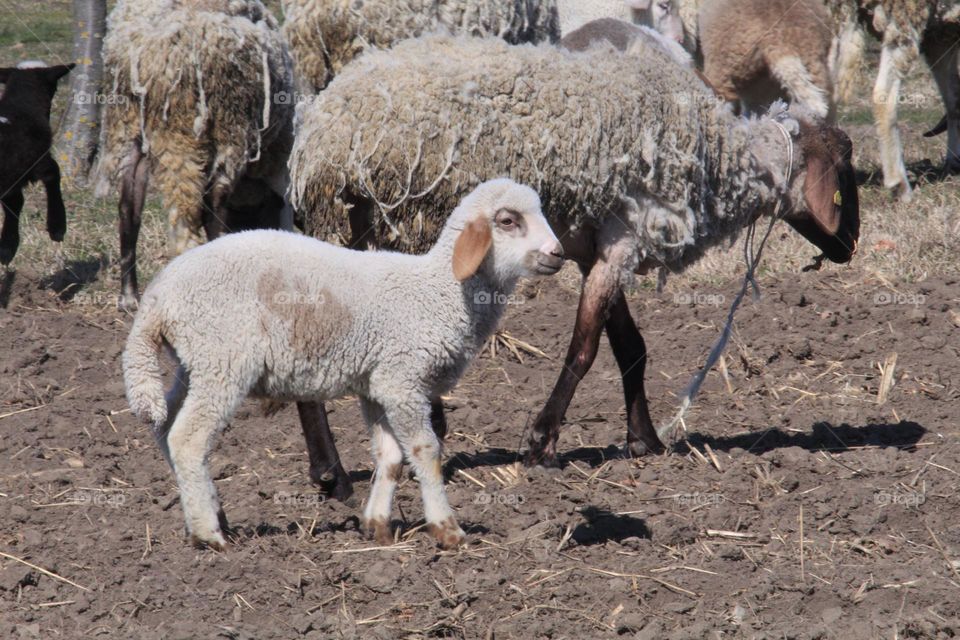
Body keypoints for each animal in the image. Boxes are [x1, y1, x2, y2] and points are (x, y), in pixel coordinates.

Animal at [0, 62, 75, 265]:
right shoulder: (36, 161)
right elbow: (53, 174)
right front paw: (57, 228)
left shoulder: (12, 179)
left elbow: (14, 204)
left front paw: (7, 249)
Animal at [94, 0, 295, 310]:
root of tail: (153, 52)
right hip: (218, 128)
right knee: (204, 210)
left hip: (128, 126)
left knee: (128, 208)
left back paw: (128, 296)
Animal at [123, 178, 564, 549]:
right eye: (508, 220)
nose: (558, 254)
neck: (438, 291)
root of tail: (157, 297)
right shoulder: (404, 380)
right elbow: (424, 451)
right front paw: (446, 528)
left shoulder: (378, 385)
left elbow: (389, 458)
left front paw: (377, 527)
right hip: (223, 359)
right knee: (188, 439)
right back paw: (208, 534)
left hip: (194, 362)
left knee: (165, 426)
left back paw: (212, 515)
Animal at [289, 33, 860, 469]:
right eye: (843, 164)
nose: (851, 244)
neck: (716, 157)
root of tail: (325, 134)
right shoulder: (626, 238)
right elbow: (584, 350)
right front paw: (542, 442)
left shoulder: (598, 248)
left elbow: (631, 347)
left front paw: (644, 440)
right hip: (395, 219)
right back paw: (358, 460)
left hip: (350, 225)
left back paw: (332, 471)